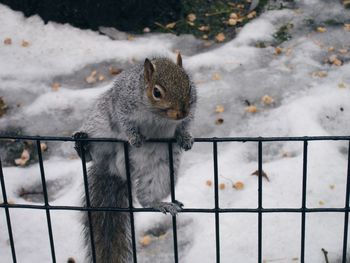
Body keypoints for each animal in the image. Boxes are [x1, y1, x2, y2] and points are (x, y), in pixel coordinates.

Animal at [73, 54, 197, 263]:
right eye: (156, 92)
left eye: (189, 85)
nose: (181, 112)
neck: (157, 116)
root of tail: (115, 169)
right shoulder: (123, 104)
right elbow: (125, 123)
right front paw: (134, 137)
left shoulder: (190, 111)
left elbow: (185, 125)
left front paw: (185, 137)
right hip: (100, 129)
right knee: (93, 155)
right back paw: (83, 147)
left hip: (162, 171)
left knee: (145, 197)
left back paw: (159, 204)